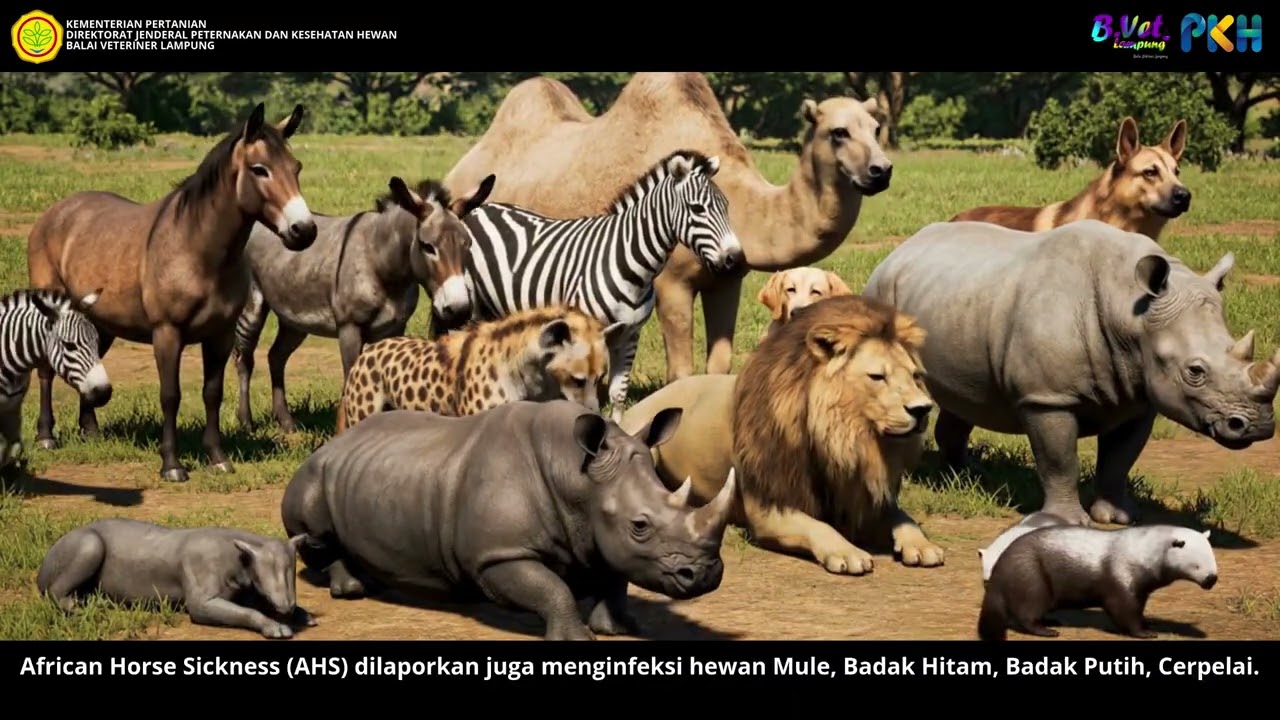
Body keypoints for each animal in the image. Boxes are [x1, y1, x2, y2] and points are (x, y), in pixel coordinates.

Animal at [25, 102, 318, 482]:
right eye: (259, 169)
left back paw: (90, 431)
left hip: (99, 322)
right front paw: (172, 465)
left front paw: (218, 458)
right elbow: (170, 395)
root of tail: (52, 215)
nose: (304, 230)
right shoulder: (167, 333)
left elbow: (212, 393)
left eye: (296, 167)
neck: (196, 249)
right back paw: (46, 436)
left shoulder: (220, 334)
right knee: (45, 369)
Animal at [232, 174, 495, 433]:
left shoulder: (395, 328)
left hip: (294, 318)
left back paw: (286, 423)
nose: (459, 310)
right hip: (252, 307)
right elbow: (349, 383)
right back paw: (246, 422)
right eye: (427, 246)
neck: (383, 265)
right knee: (244, 359)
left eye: (468, 244)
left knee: (276, 356)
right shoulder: (349, 328)